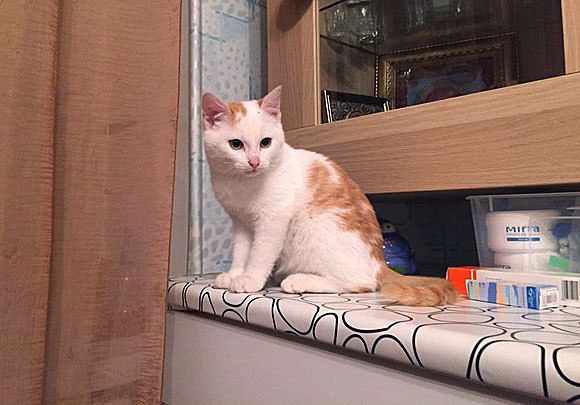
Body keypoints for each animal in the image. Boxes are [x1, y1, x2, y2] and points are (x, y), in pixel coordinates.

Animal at [201, 86, 458, 306]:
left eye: (266, 142)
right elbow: (241, 251)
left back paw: (299, 280)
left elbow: (259, 253)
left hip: (312, 226)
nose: (254, 162)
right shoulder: (241, 222)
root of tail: (380, 261)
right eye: (236, 144)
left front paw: (250, 279)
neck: (241, 184)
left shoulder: (273, 219)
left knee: (360, 282)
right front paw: (234, 274)